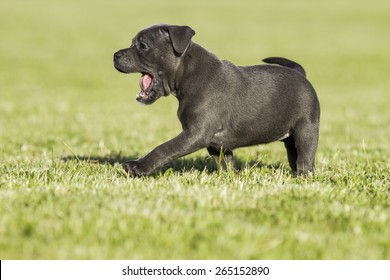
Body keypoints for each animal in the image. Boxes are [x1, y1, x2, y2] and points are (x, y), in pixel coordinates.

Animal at [112, 25, 320, 176]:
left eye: (143, 46)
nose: (115, 55)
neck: (187, 74)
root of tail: (301, 74)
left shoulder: (195, 133)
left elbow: (164, 148)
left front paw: (138, 166)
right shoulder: (214, 142)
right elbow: (225, 161)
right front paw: (230, 178)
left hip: (306, 129)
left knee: (305, 158)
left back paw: (302, 176)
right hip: (290, 138)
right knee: (294, 156)